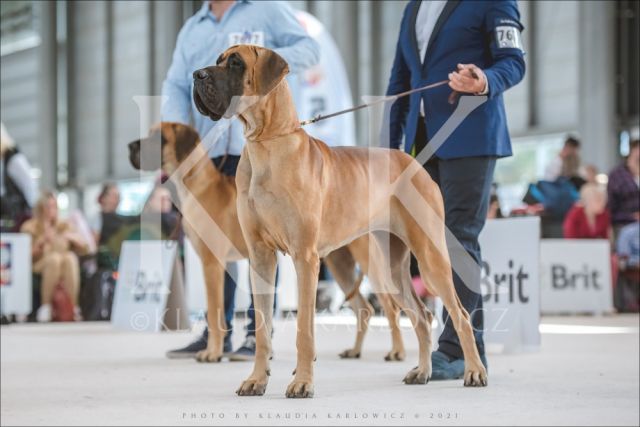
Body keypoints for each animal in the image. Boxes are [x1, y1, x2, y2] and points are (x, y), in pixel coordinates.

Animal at [128, 122, 406, 363]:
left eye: (159, 137)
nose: (130, 146)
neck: (197, 184)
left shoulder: (212, 262)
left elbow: (215, 311)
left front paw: (213, 353)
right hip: (340, 264)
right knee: (364, 308)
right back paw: (355, 350)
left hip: (369, 263)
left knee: (390, 308)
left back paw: (397, 352)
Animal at [193, 45, 488, 398]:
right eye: (218, 59)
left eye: (236, 63)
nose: (196, 75)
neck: (266, 142)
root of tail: (414, 162)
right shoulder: (260, 256)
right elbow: (263, 326)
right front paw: (256, 380)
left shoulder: (305, 257)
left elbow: (304, 328)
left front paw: (302, 382)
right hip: (393, 268)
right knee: (421, 315)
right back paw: (422, 371)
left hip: (430, 258)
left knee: (459, 314)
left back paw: (474, 371)